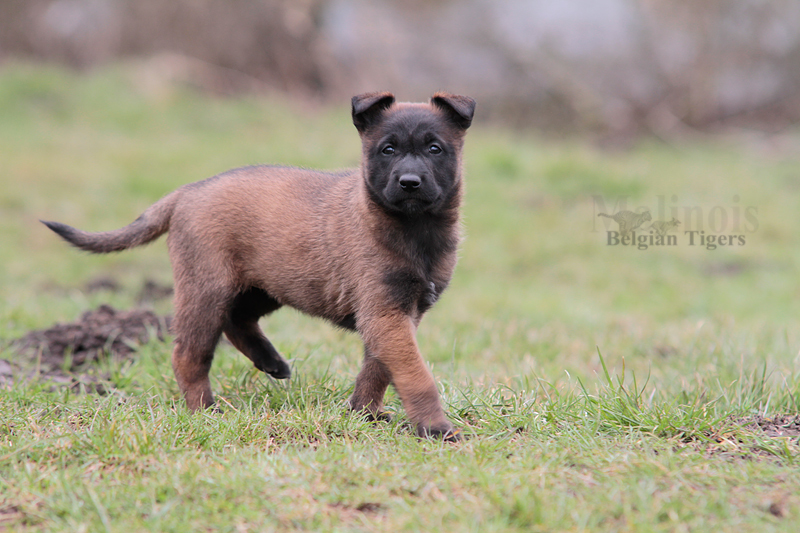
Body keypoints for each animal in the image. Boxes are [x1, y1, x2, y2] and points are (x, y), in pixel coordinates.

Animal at [43, 92, 475, 440]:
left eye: (434, 149)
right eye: (388, 150)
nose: (409, 182)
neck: (414, 229)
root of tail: (187, 192)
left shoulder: (399, 315)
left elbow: (379, 367)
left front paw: (363, 412)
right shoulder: (385, 312)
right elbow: (415, 374)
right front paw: (435, 427)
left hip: (265, 284)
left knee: (237, 321)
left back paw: (271, 361)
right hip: (206, 289)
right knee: (189, 354)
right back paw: (205, 410)